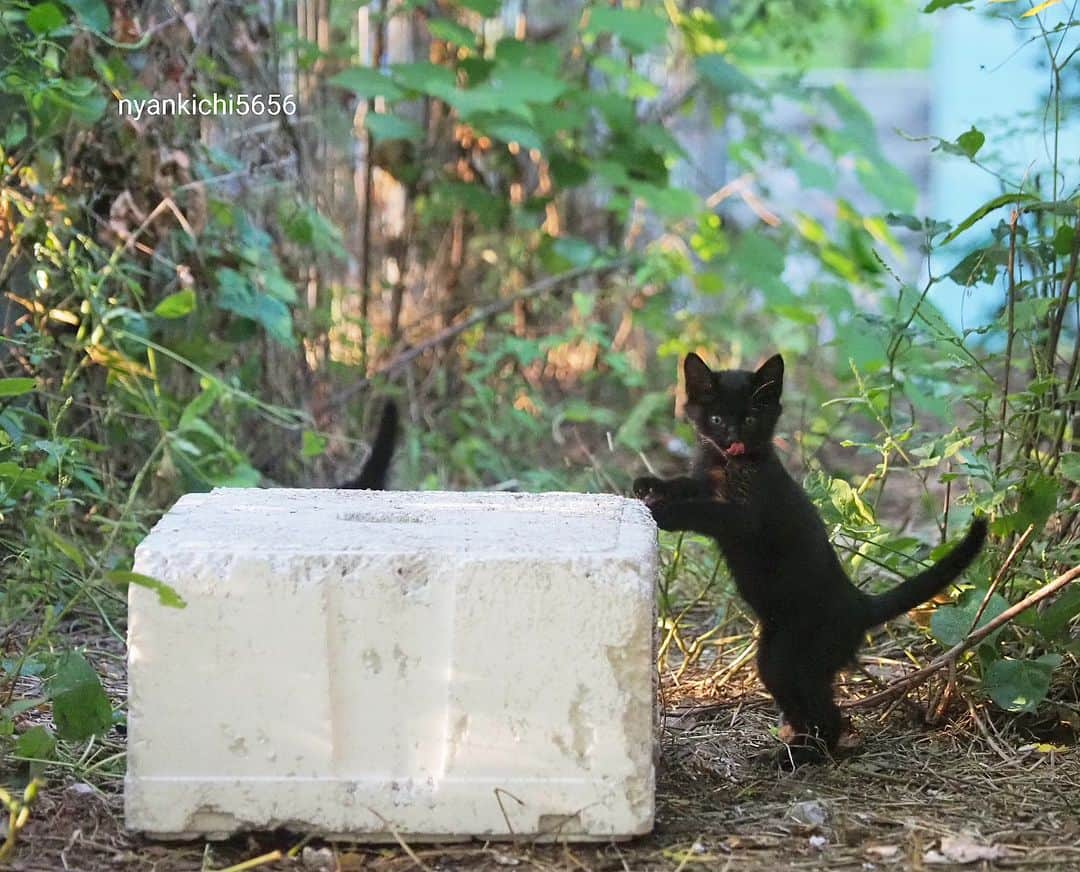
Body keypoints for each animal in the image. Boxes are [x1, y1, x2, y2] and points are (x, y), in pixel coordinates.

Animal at [630, 352, 989, 769]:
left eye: (750, 419)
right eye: (717, 419)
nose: (732, 440)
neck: (728, 466)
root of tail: (859, 604)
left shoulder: (743, 515)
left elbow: (703, 511)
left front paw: (664, 512)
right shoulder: (705, 479)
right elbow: (687, 485)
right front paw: (652, 484)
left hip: (802, 659)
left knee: (830, 717)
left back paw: (798, 757)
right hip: (774, 657)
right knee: (805, 709)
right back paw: (789, 745)